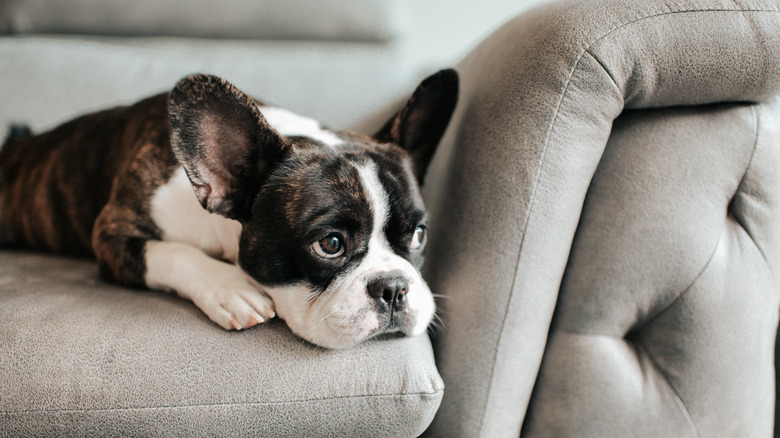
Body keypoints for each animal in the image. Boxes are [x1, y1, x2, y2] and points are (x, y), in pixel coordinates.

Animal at [0, 69, 460, 350]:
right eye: (330, 244)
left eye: (419, 235)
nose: (394, 287)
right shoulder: (113, 232)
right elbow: (172, 252)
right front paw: (229, 287)